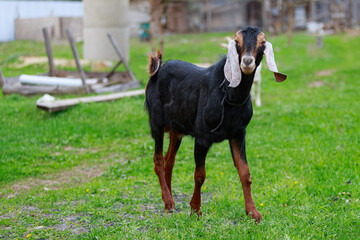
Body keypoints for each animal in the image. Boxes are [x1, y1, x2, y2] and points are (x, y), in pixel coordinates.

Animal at [144, 26, 286, 223]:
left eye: (262, 43)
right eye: (237, 42)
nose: (247, 62)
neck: (229, 95)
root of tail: (156, 70)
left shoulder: (238, 133)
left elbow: (245, 173)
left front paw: (253, 213)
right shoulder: (202, 137)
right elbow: (199, 175)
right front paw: (195, 210)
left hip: (176, 129)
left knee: (168, 161)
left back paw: (169, 200)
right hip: (156, 122)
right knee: (158, 161)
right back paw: (169, 202)